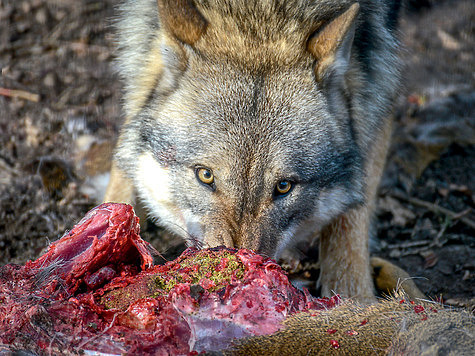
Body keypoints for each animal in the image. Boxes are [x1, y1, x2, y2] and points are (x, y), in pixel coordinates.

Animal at [104, 0, 402, 302]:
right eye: (205, 175)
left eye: (284, 186)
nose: (238, 272)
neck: (262, 14)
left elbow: (353, 216)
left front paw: (356, 298)